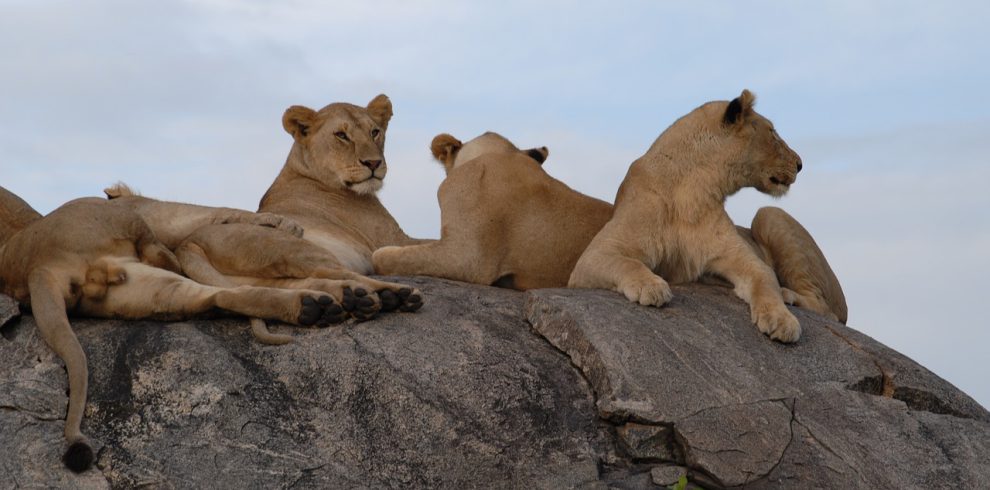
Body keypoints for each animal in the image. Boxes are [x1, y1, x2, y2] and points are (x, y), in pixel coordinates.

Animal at [0, 187, 348, 470]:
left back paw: (315, 307)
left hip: (144, 290)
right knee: (175, 258)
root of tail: (37, 267)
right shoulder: (166, 214)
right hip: (118, 222)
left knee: (219, 295)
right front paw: (283, 223)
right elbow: (220, 211)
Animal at [564, 90, 844, 342]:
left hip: (769, 213)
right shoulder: (594, 256)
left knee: (826, 310)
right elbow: (628, 263)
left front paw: (780, 319)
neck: (691, 188)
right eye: (773, 133)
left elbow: (764, 277)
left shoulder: (737, 255)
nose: (800, 164)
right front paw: (651, 286)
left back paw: (787, 294)